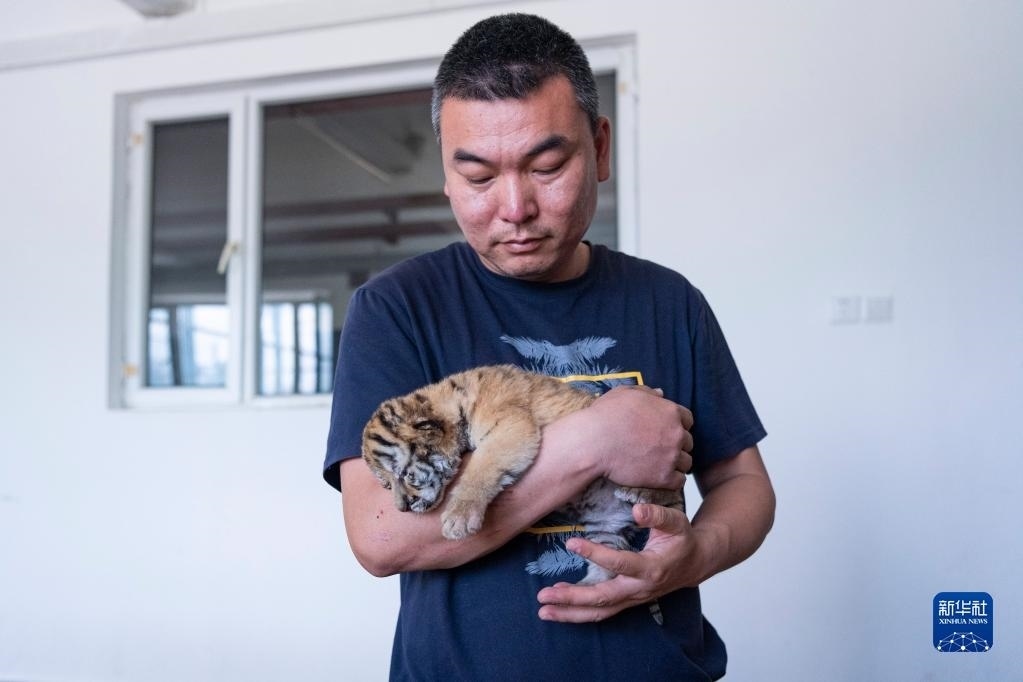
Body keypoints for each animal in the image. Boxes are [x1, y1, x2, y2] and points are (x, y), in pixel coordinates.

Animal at [360, 364, 684, 589]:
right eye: (386, 485)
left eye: (404, 474)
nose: (402, 509)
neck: (451, 404)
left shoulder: (511, 427)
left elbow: (481, 468)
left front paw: (459, 518)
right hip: (604, 530)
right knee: (607, 566)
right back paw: (584, 588)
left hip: (651, 465)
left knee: (670, 483)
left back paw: (640, 492)